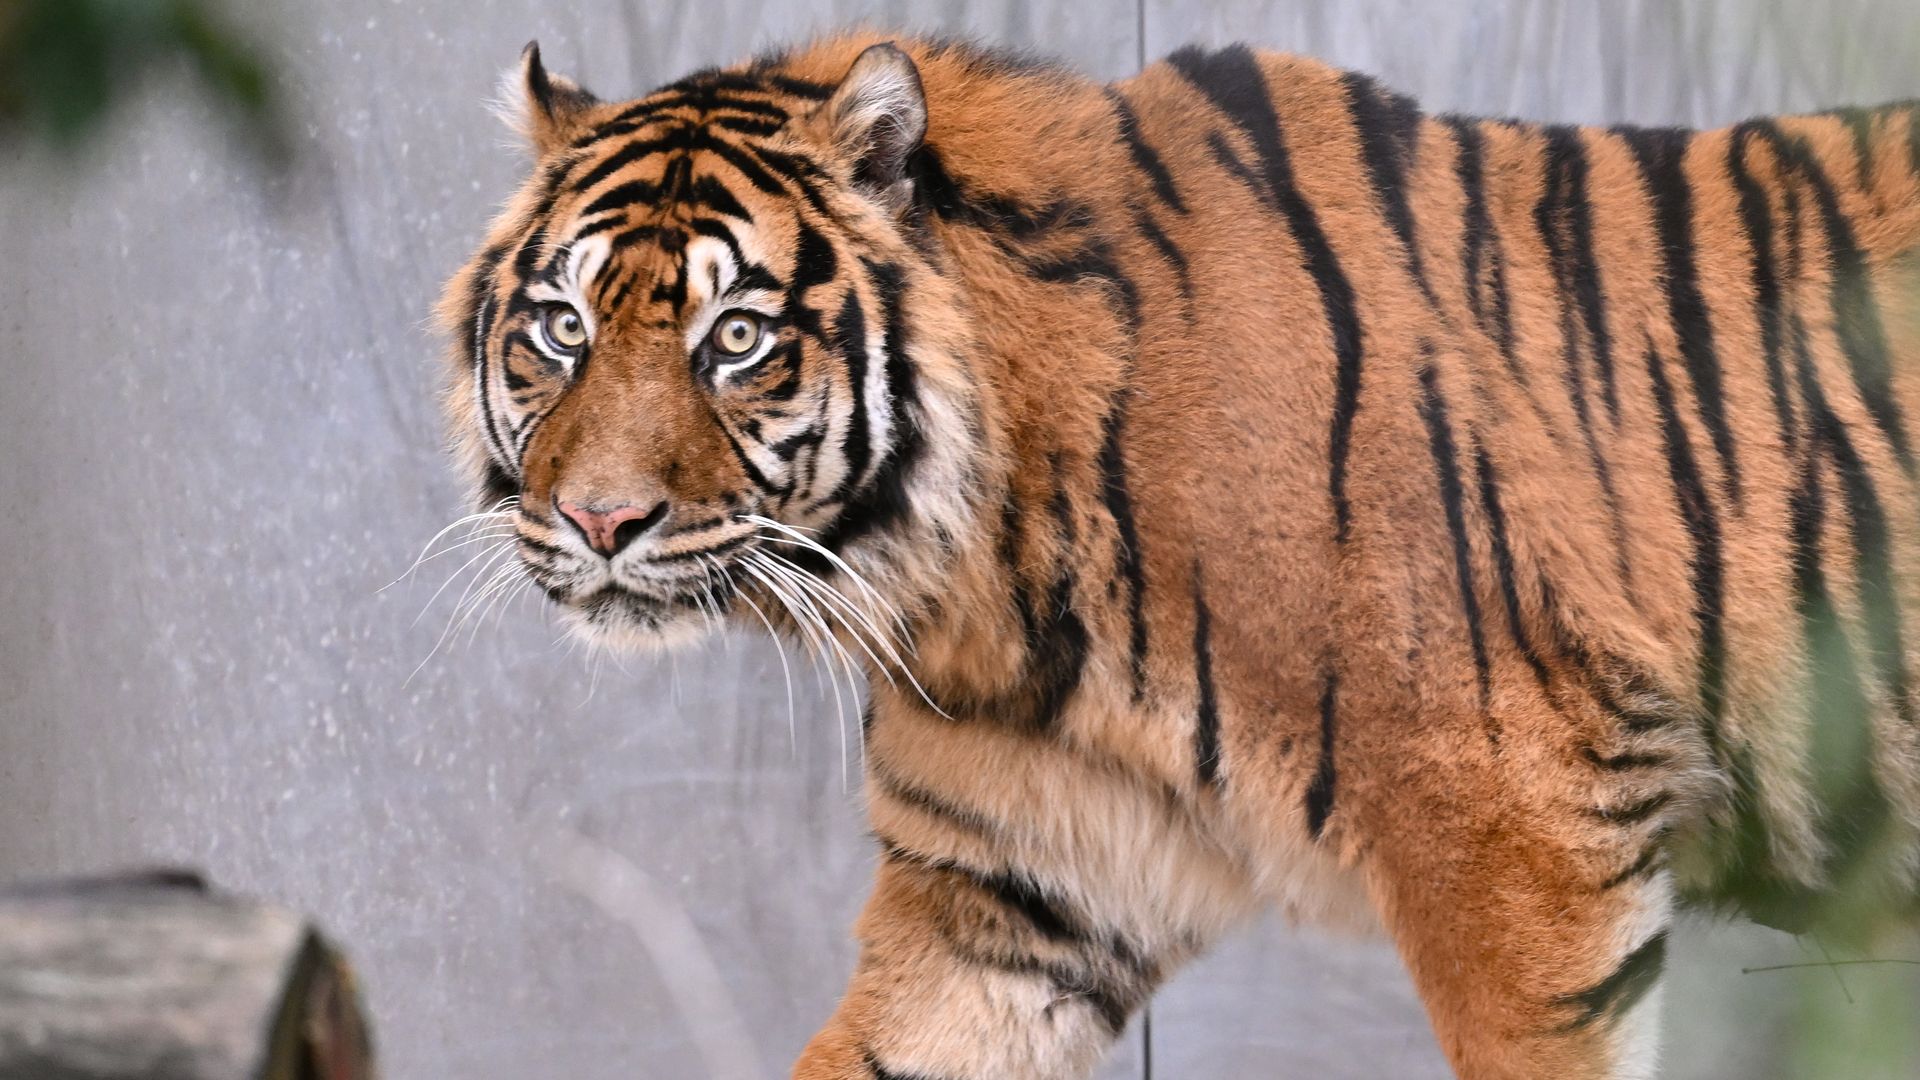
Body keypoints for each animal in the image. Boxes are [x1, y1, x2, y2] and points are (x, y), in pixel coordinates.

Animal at [432, 29, 1920, 1076]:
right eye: (561, 327)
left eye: (735, 337)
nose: (600, 521)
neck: (988, 576)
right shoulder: (1008, 901)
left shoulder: (1516, 826)